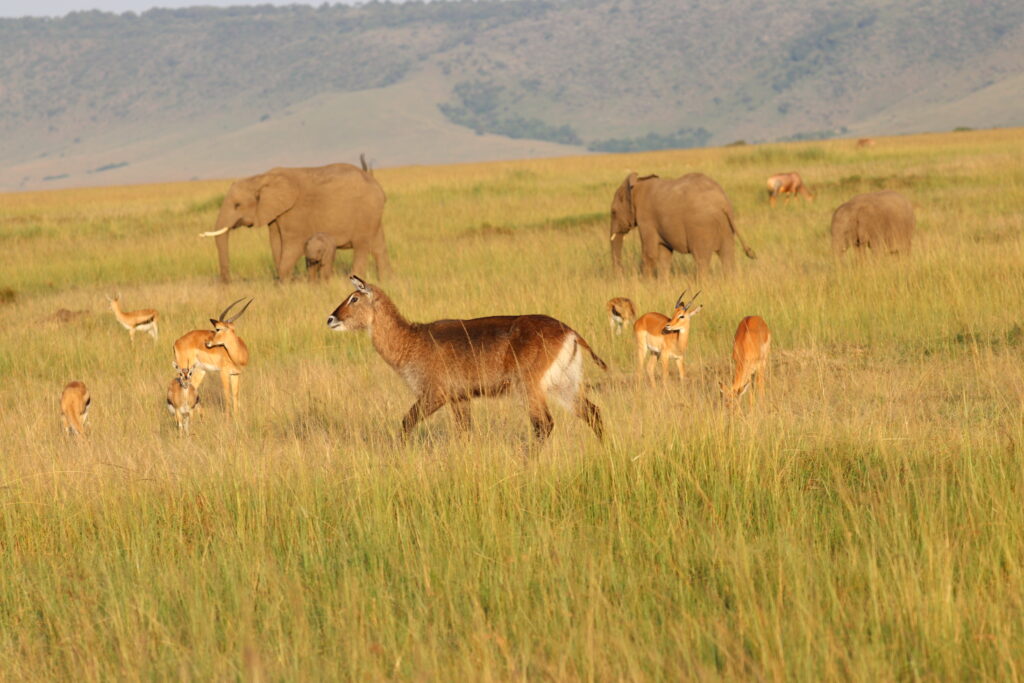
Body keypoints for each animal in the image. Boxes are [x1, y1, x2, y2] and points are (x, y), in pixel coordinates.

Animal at [201, 160, 389, 282]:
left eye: (237, 205)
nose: (227, 282)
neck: (260, 178)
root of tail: (377, 184)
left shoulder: (296, 212)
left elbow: (293, 245)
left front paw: (284, 286)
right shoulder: (274, 214)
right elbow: (276, 243)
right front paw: (284, 284)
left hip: (366, 213)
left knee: (361, 246)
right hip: (374, 215)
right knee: (379, 247)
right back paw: (386, 280)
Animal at [325, 276, 606, 444]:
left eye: (354, 298)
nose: (330, 318)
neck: (411, 341)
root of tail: (570, 331)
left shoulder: (434, 394)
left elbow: (406, 423)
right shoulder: (460, 398)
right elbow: (465, 433)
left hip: (530, 387)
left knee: (544, 425)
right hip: (564, 385)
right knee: (593, 413)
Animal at [606, 171, 761, 278]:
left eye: (613, 212)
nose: (621, 274)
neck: (637, 184)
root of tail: (723, 203)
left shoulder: (646, 219)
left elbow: (650, 254)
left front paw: (647, 286)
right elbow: (664, 254)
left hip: (701, 227)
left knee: (701, 260)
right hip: (726, 227)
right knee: (727, 257)